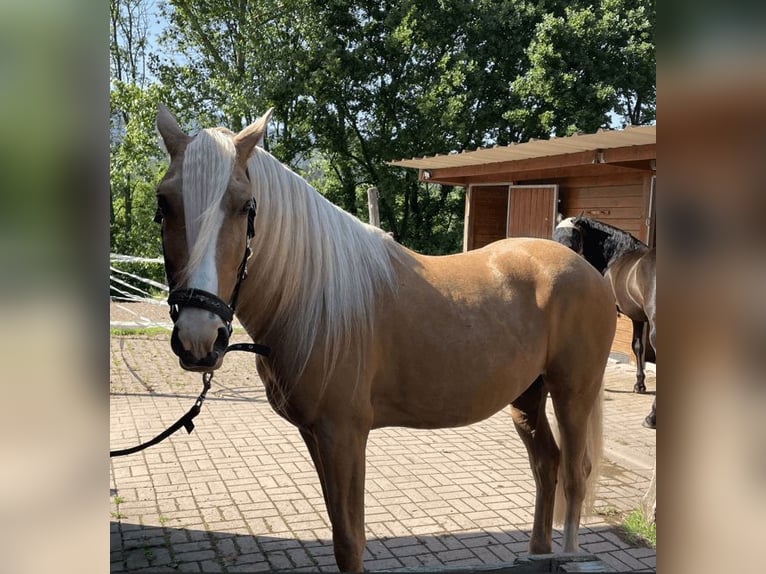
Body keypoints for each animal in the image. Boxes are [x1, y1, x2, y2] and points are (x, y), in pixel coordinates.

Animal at [153, 105, 617, 571]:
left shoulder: (344, 434)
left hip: (573, 394)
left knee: (575, 475)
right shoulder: (315, 434)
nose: (199, 338)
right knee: (546, 464)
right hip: (527, 396)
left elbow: (349, 540)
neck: (315, 298)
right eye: (163, 203)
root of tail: (587, 270)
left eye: (245, 205)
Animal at [553, 217, 656, 429]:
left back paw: (651, 417)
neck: (617, 255)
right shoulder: (638, 317)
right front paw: (639, 385)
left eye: (572, 239)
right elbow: (638, 347)